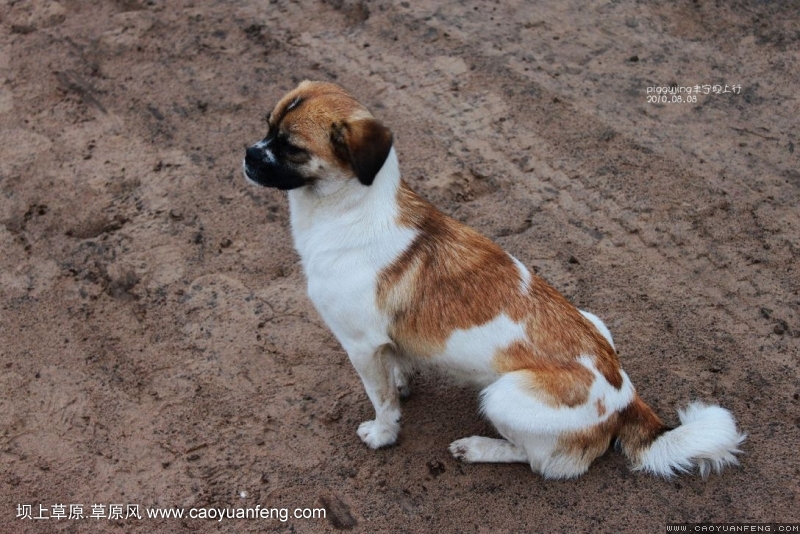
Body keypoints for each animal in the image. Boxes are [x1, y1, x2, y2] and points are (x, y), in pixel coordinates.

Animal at [241, 80, 748, 482]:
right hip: (595, 320)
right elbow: (396, 369)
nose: (246, 155)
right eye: (266, 127)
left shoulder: (360, 346)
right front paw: (403, 379)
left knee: (546, 464)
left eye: (291, 146)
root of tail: (627, 399)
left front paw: (383, 434)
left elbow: (382, 402)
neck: (350, 210)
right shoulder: (380, 344)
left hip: (501, 396)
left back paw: (480, 448)